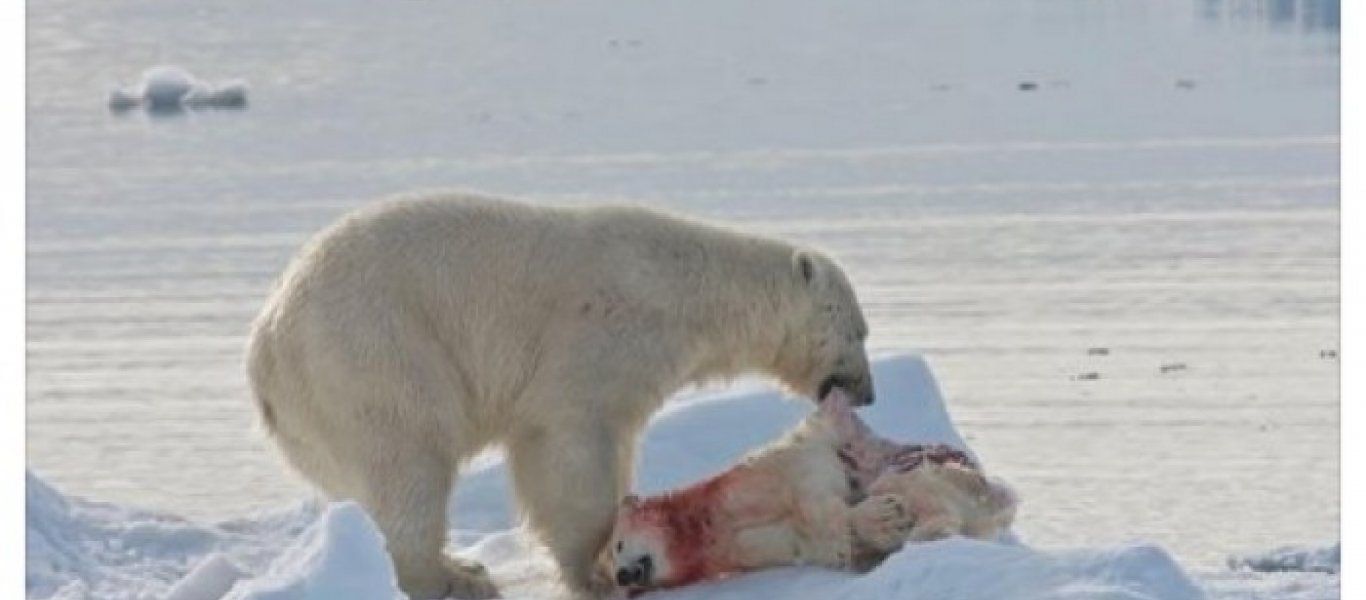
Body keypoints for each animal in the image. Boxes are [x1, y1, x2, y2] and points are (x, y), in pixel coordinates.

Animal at [245, 194, 874, 600]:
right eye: (860, 330)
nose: (867, 392)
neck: (687, 290)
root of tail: (266, 349)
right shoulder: (599, 336)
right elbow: (568, 446)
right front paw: (595, 569)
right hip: (374, 355)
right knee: (409, 463)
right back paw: (455, 577)